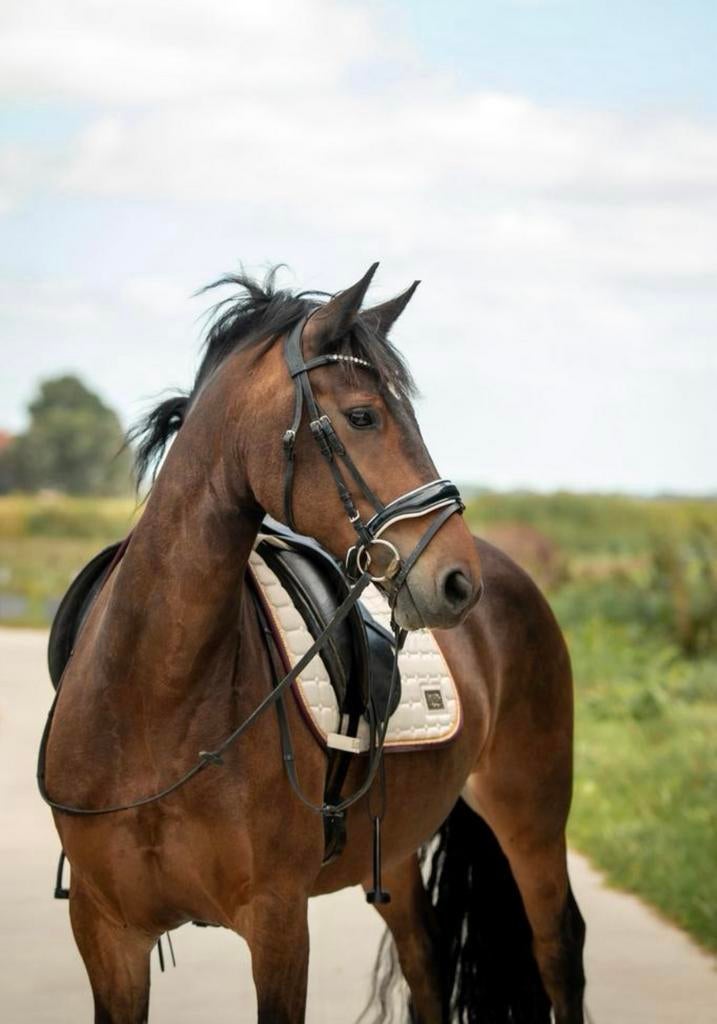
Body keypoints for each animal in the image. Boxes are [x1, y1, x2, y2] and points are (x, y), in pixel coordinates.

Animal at [40, 264, 586, 1023]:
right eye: (362, 416)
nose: (457, 582)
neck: (152, 701)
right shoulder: (105, 930)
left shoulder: (277, 922)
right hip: (396, 852)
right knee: (426, 961)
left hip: (531, 814)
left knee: (558, 948)